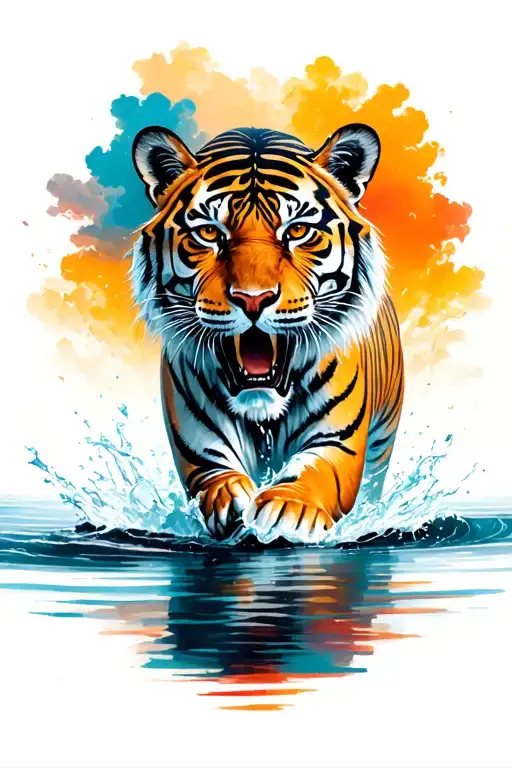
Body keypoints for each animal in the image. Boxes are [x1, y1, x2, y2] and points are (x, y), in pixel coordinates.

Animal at [130, 123, 404, 542]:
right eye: (209, 232)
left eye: (298, 231)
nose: (253, 299)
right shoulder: (199, 446)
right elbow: (214, 478)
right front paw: (231, 501)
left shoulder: (337, 440)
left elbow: (315, 471)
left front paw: (285, 510)